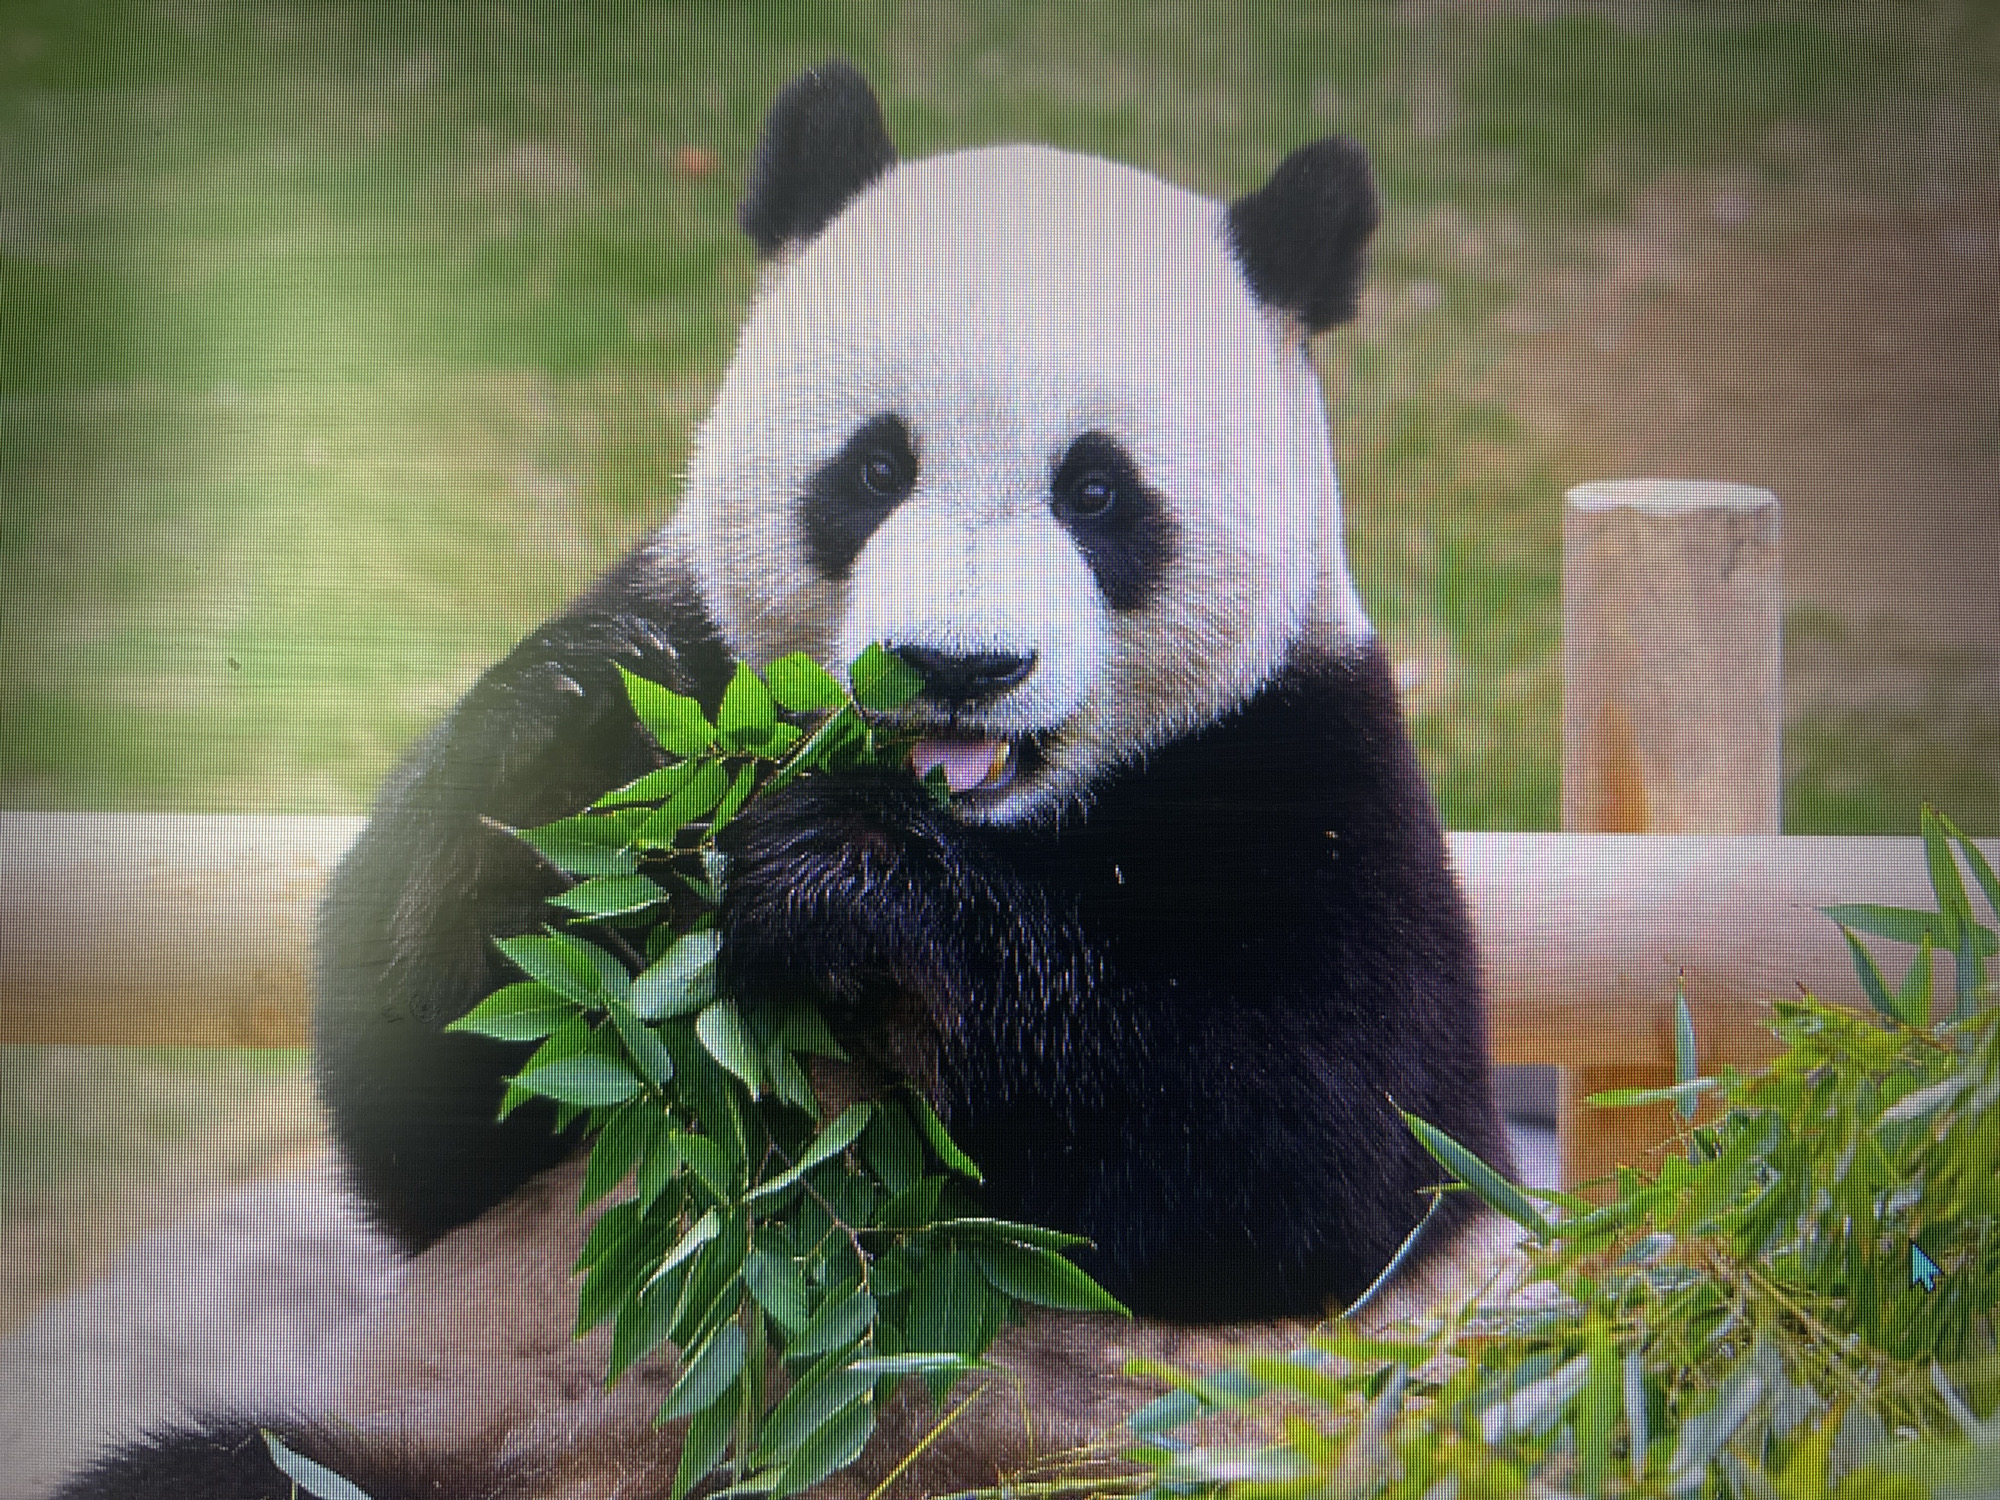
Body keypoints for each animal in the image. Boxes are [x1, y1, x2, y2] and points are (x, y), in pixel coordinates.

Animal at [57, 61, 1517, 1500]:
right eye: (873, 467)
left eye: (1098, 493)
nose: (958, 666)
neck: (997, 825)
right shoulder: (698, 653)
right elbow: (437, 1110)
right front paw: (575, 730)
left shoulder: (1311, 770)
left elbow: (1311, 1151)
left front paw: (848, 886)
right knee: (211, 1470)